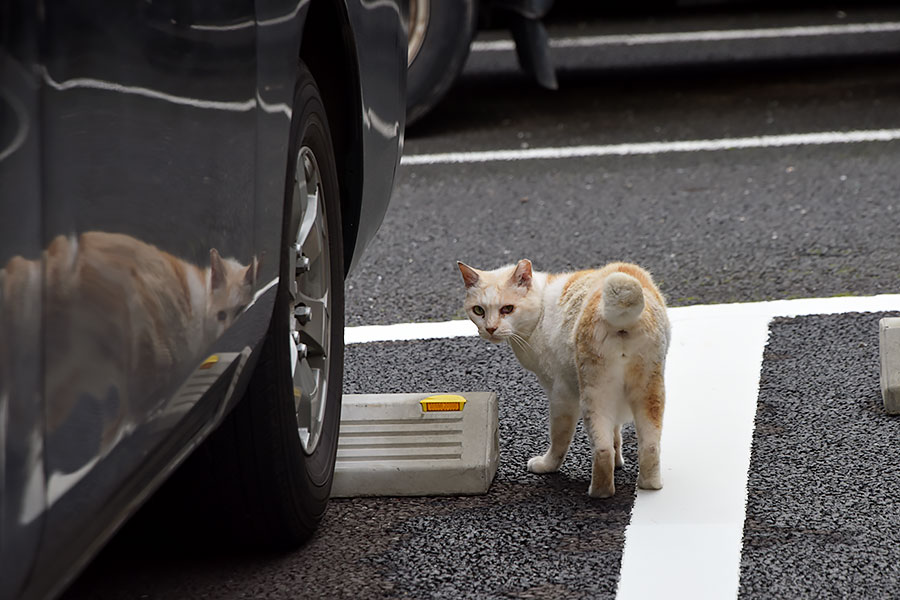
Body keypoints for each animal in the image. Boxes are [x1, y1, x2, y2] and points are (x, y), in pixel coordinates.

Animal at [460, 258, 672, 496]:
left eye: (507, 309)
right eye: (479, 310)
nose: (490, 328)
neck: (541, 309)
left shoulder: (561, 394)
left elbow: (559, 438)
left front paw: (546, 465)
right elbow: (616, 432)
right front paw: (619, 461)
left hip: (592, 393)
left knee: (602, 450)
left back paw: (598, 492)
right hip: (649, 391)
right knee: (650, 446)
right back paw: (649, 484)